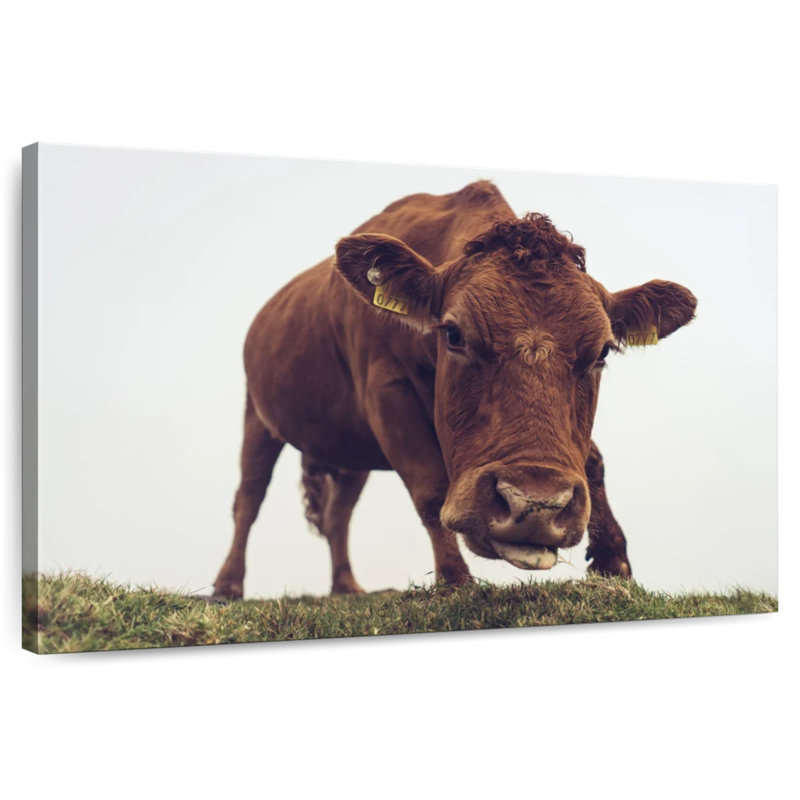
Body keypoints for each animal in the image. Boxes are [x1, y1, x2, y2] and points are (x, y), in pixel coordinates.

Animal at [213, 181, 696, 598]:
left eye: (602, 352)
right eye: (454, 334)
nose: (534, 504)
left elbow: (592, 460)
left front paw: (615, 561)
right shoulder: (386, 392)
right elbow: (429, 489)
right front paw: (455, 579)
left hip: (349, 452)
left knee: (338, 514)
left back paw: (346, 586)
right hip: (257, 416)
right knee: (248, 499)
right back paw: (227, 587)